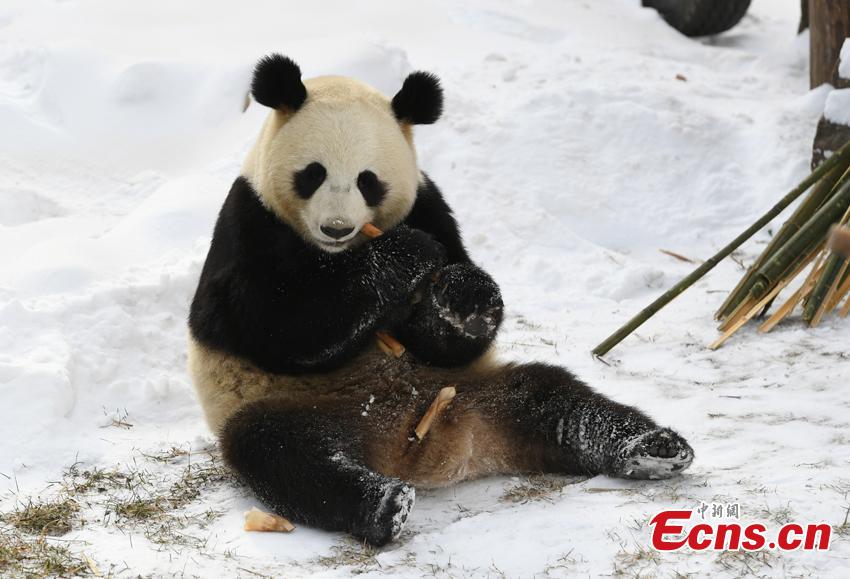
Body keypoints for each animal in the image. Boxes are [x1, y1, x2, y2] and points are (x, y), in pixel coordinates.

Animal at [189, 52, 692, 548]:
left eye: (368, 181)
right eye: (313, 174)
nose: (336, 227)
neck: (341, 255)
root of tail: (419, 448)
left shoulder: (428, 204)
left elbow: (445, 332)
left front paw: (464, 296)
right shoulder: (250, 224)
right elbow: (274, 324)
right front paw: (402, 256)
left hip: (477, 389)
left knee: (557, 401)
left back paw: (652, 448)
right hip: (290, 406)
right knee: (284, 454)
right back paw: (383, 504)